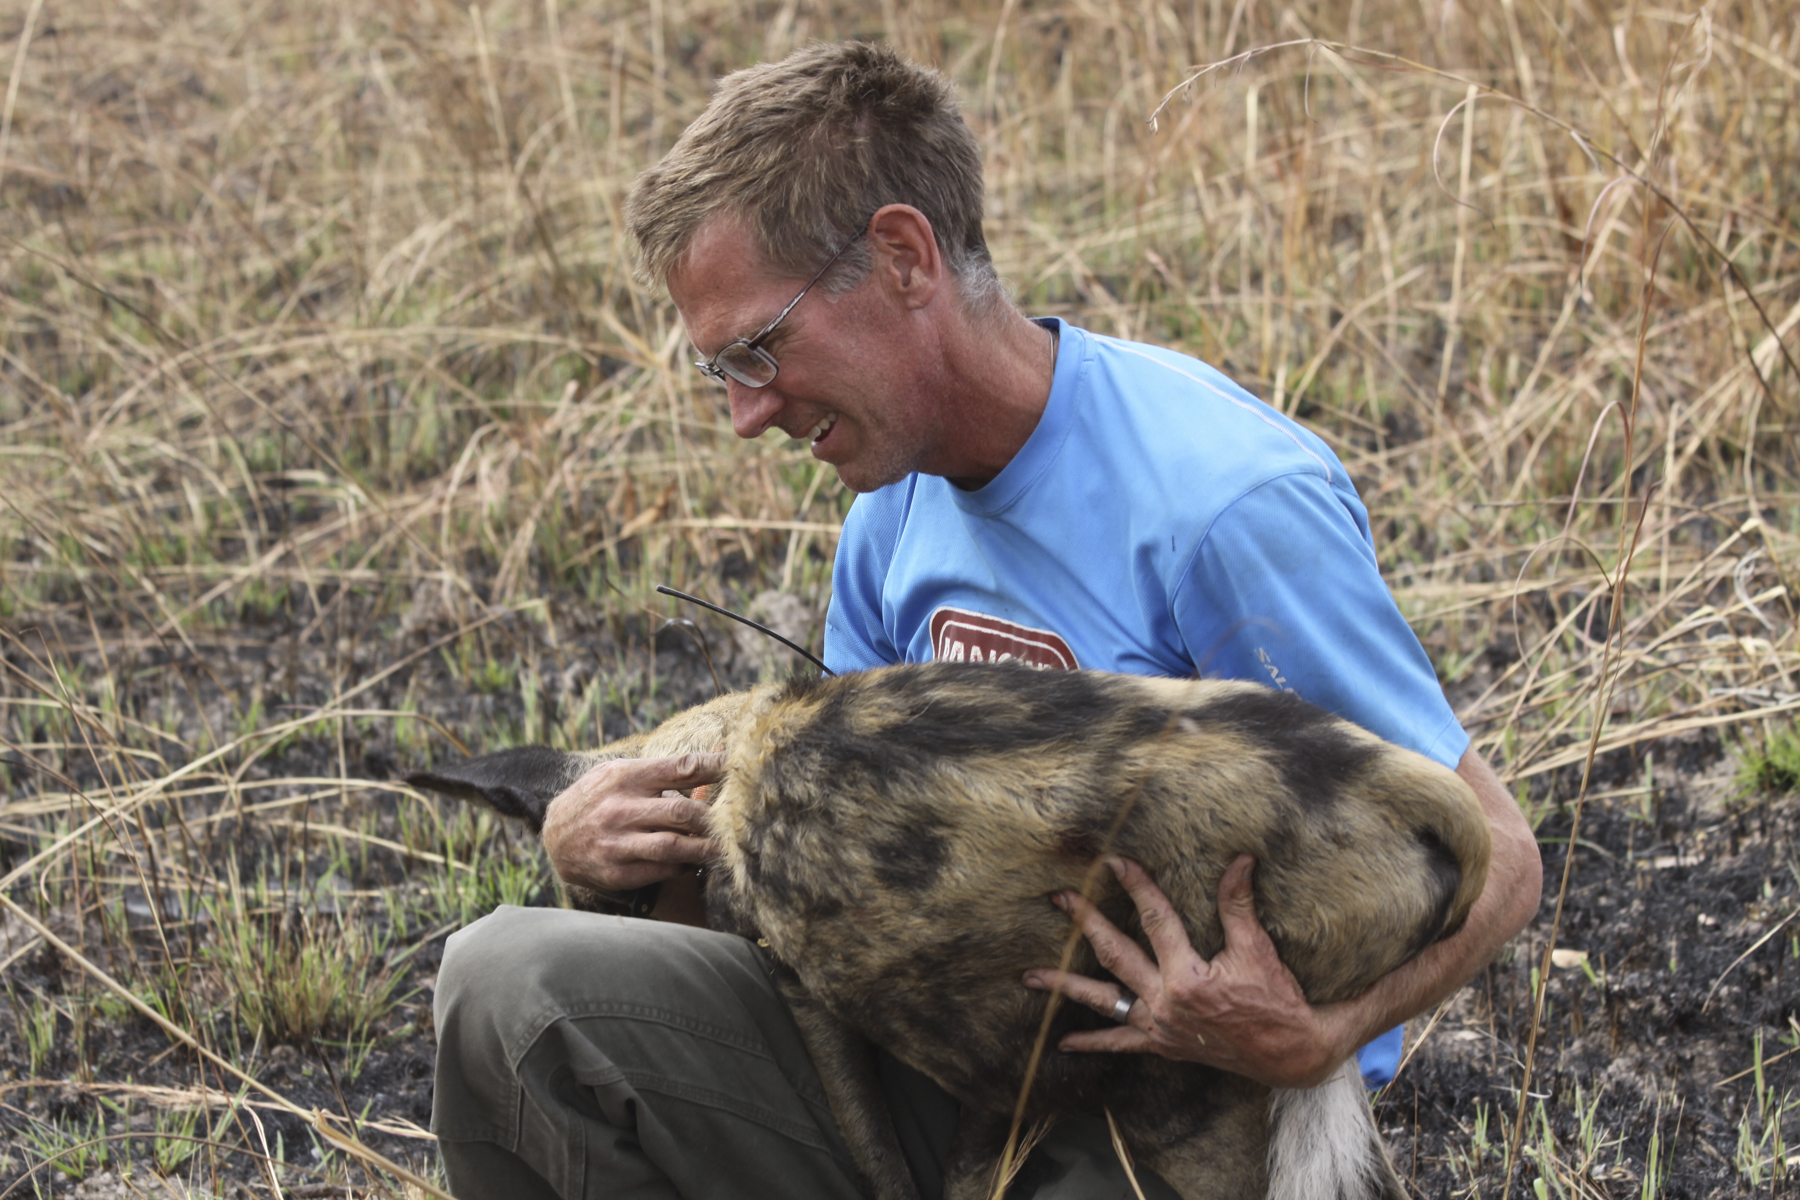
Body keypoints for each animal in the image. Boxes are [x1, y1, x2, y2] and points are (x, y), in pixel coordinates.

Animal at [412, 665, 1490, 1200]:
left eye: (606, 901)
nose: (598, 907)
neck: (730, 753)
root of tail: (1383, 781)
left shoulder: (813, 995)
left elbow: (883, 1166)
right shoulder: (1005, 1064)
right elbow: (970, 1172)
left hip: (1188, 1093)